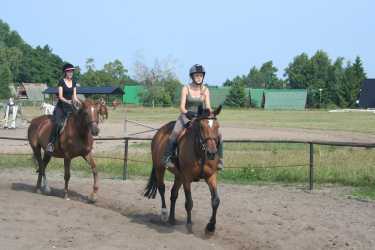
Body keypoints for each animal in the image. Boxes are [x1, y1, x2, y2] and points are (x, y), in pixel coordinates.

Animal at [145, 104, 222, 233]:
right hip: (160, 168)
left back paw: (172, 219)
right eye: (201, 126)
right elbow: (189, 202)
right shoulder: (187, 179)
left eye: (217, 126)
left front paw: (211, 227)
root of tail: (159, 133)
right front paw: (189, 225)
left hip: (178, 176)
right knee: (162, 188)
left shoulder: (211, 176)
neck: (200, 152)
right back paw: (164, 214)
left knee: (173, 194)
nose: (211, 153)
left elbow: (215, 201)